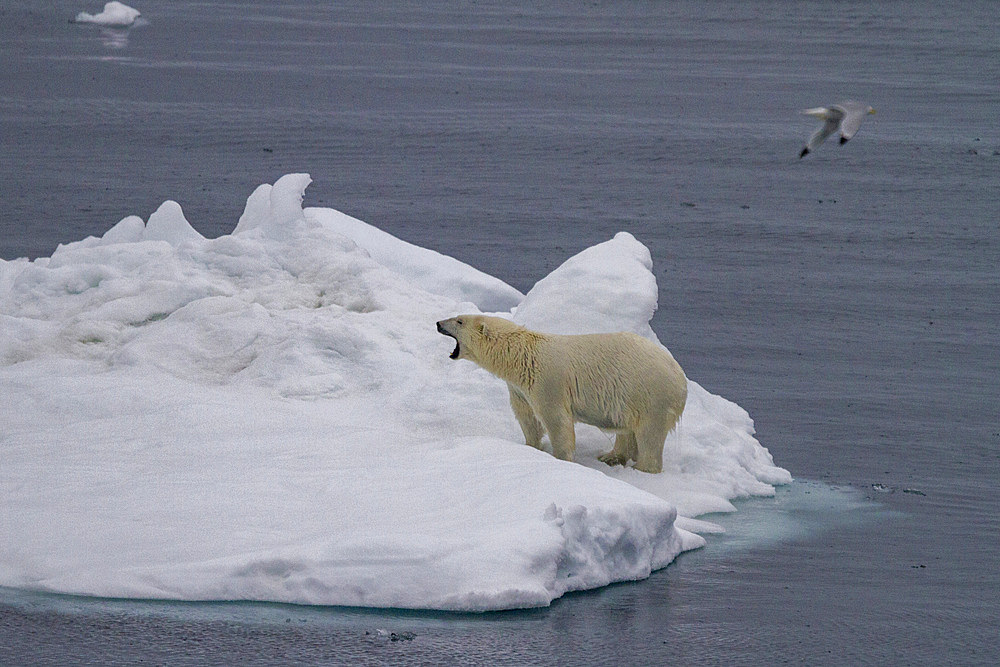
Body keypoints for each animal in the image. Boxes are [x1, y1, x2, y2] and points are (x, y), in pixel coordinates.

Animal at [438, 314, 688, 474]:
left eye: (459, 320)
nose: (439, 323)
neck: (522, 356)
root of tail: (681, 378)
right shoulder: (519, 388)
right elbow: (527, 418)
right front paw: (531, 447)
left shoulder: (548, 380)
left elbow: (556, 420)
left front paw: (561, 459)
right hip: (631, 400)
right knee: (627, 430)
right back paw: (610, 456)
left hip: (651, 394)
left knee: (649, 435)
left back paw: (642, 468)